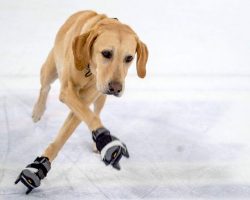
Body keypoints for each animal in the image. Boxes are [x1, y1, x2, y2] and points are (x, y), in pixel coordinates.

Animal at [14, 10, 147, 194]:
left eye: (129, 58)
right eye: (106, 53)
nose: (116, 88)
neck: (89, 70)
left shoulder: (84, 100)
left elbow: (88, 117)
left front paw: (103, 140)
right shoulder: (67, 92)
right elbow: (78, 120)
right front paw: (38, 167)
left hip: (101, 97)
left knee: (97, 110)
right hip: (50, 69)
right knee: (45, 87)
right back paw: (38, 111)